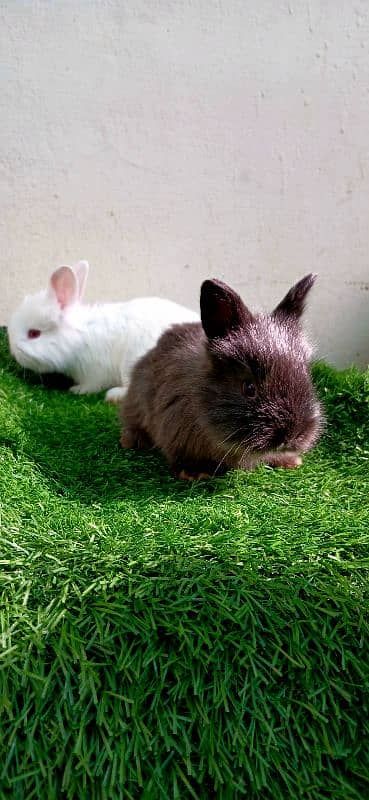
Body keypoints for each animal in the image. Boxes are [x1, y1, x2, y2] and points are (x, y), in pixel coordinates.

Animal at [7, 260, 198, 400]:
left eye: (33, 334)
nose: (13, 353)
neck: (80, 338)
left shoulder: (96, 372)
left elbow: (92, 385)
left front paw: (77, 390)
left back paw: (114, 395)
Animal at [119, 276, 320, 478]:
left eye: (306, 376)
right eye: (249, 388)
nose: (292, 436)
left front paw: (290, 461)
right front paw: (195, 473)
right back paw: (130, 441)